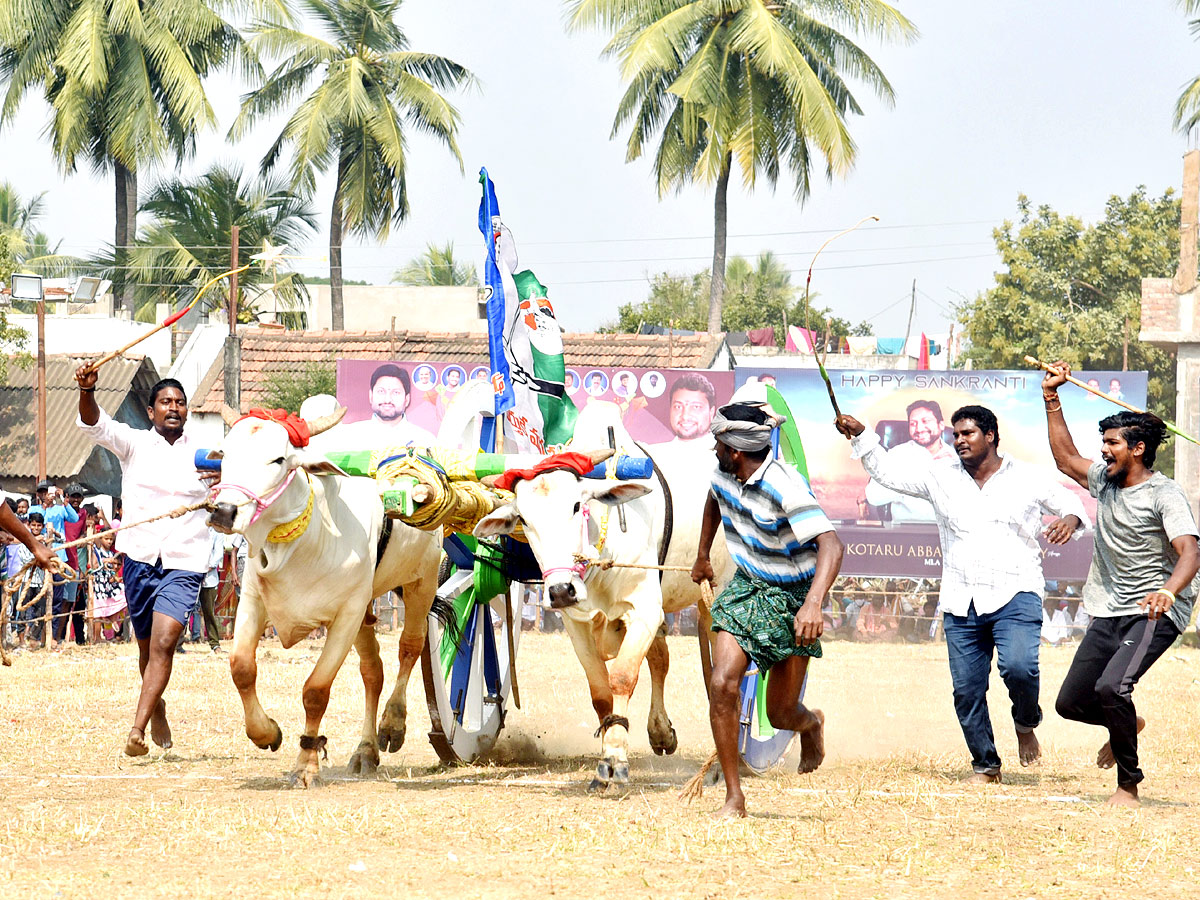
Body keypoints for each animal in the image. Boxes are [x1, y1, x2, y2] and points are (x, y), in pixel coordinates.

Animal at [208, 408, 444, 787]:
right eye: (226, 455)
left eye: (278, 459)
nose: (224, 511)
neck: (307, 538)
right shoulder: (253, 600)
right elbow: (242, 668)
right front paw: (266, 732)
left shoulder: (345, 617)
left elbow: (315, 691)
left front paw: (306, 765)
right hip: (367, 609)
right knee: (373, 672)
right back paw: (366, 750)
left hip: (421, 582)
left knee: (410, 646)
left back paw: (393, 724)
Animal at [475, 400, 729, 787]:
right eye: (524, 520)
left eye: (577, 506)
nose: (561, 590)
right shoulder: (575, 623)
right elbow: (601, 693)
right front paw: (612, 750)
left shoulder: (644, 608)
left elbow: (622, 677)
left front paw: (615, 759)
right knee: (661, 659)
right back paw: (661, 732)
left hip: (717, 592)